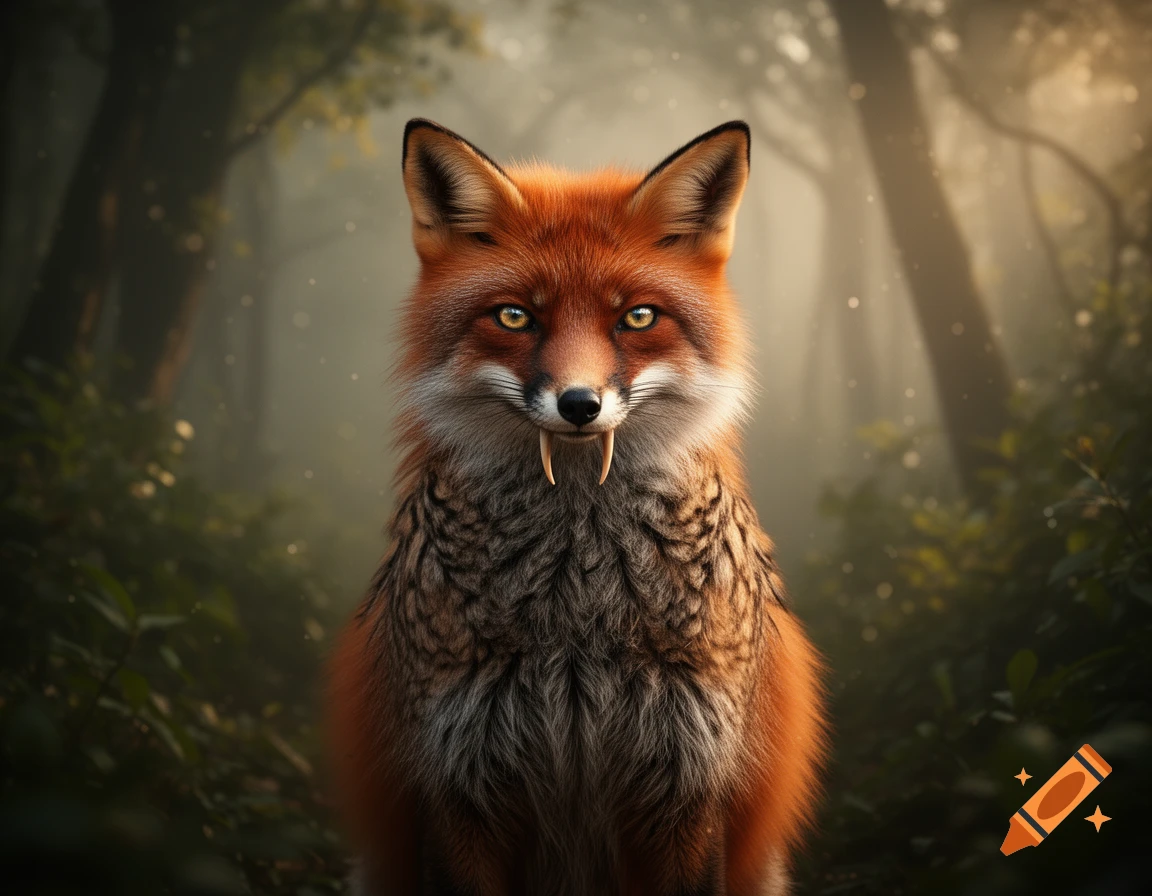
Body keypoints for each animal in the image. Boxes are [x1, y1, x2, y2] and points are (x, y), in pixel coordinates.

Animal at [326, 118, 828, 896]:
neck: (578, 612)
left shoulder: (690, 779)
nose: (579, 404)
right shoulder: (455, 779)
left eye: (638, 317)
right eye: (515, 316)